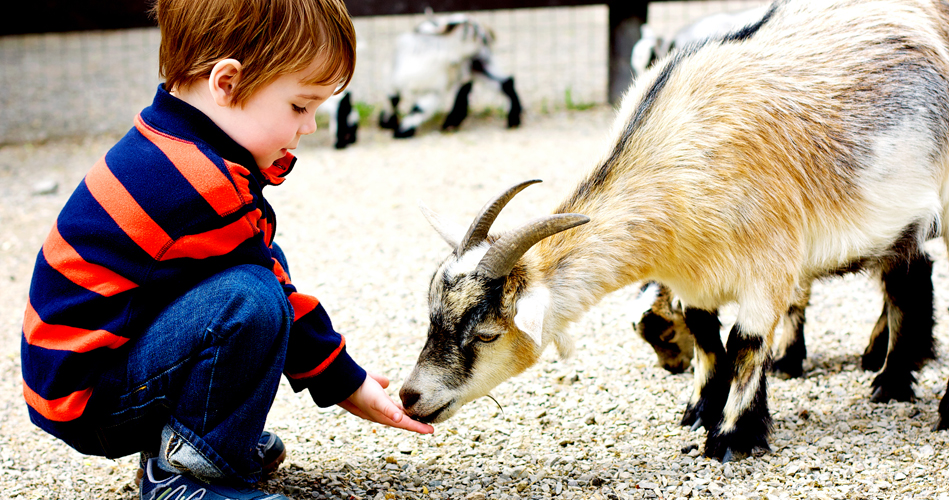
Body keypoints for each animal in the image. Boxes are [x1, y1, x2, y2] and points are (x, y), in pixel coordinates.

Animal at [378, 13, 524, 139]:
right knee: (504, 82)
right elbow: (392, 99)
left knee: (482, 85)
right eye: (474, 27)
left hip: (474, 65)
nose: (492, 35)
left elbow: (419, 109)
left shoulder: (434, 91)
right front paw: (387, 122)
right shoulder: (394, 79)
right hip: (478, 66)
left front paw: (403, 131)